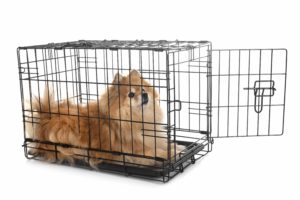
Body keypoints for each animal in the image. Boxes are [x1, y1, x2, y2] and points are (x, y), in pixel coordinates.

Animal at [27, 69, 184, 168]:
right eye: (131, 94)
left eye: (144, 90)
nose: (145, 95)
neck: (138, 119)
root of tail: (44, 115)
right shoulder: (137, 151)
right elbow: (157, 153)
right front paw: (172, 153)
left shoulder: (152, 139)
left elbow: (164, 144)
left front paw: (177, 147)